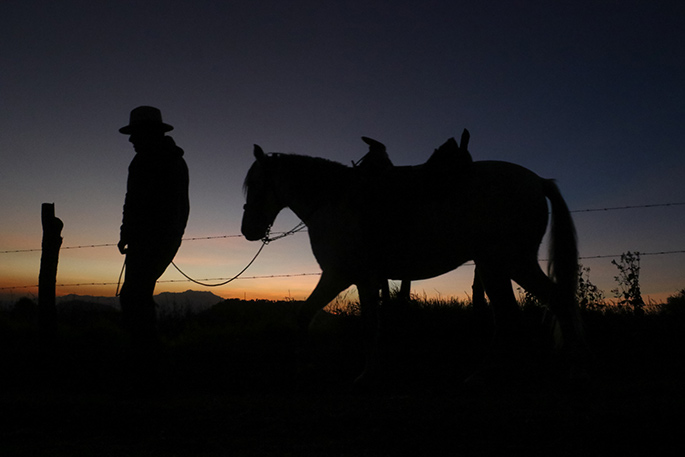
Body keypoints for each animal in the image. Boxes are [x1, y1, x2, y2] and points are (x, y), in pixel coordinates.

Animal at [240, 142, 584, 384]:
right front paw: (363, 371)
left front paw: (313, 368)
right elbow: (364, 322)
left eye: (255, 184)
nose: (248, 230)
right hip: (495, 266)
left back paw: (566, 369)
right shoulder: (361, 278)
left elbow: (313, 316)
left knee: (550, 304)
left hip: (510, 262)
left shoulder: (339, 274)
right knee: (513, 316)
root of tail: (537, 181)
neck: (331, 200)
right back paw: (487, 373)